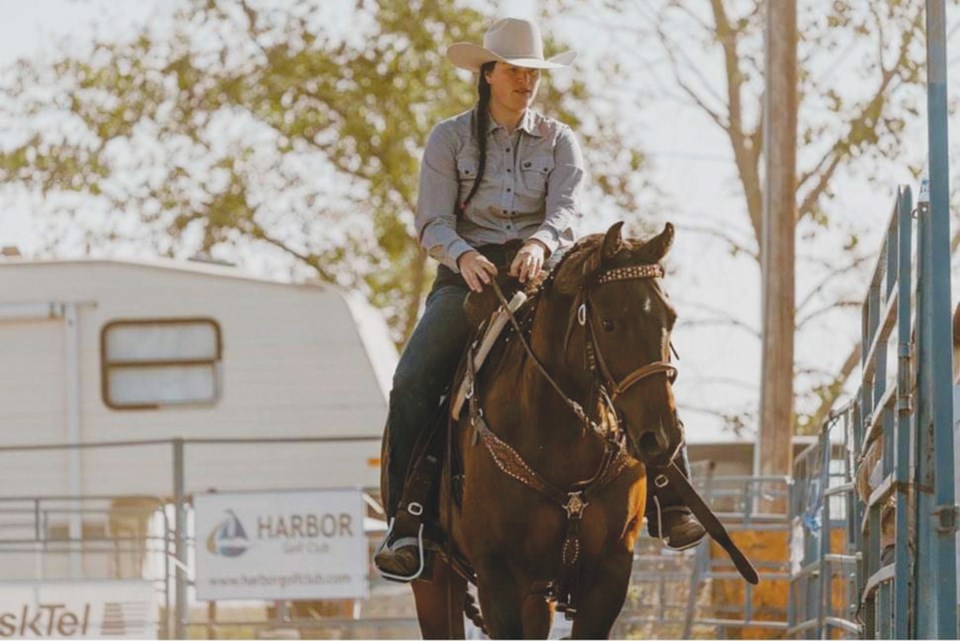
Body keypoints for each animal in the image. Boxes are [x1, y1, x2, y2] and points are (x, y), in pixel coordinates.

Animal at [408, 222, 688, 636]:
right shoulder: (498, 577)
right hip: (435, 582)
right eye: (609, 322)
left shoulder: (610, 573)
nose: (662, 438)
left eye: (671, 319)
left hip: (539, 597)